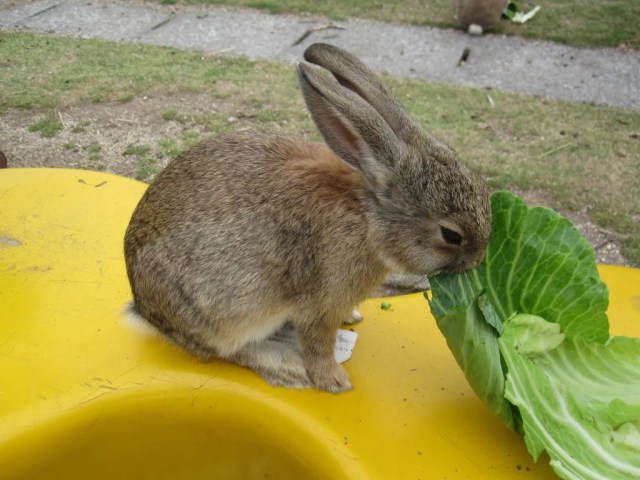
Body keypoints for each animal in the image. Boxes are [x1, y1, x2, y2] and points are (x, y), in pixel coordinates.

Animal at [123, 43, 491, 394]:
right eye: (451, 235)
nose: (479, 260)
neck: (368, 219)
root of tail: (144, 308)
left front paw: (352, 319)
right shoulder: (321, 303)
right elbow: (318, 344)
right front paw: (335, 382)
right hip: (227, 311)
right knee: (228, 349)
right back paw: (288, 368)